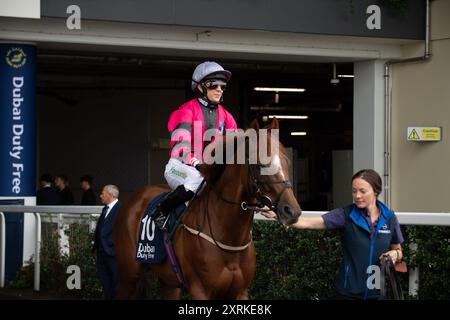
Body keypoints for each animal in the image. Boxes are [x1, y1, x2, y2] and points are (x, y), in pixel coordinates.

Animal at [112, 118, 302, 300]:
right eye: (261, 165)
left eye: (287, 162)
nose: (292, 211)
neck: (229, 239)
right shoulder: (200, 290)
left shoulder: (240, 291)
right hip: (129, 276)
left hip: (168, 282)